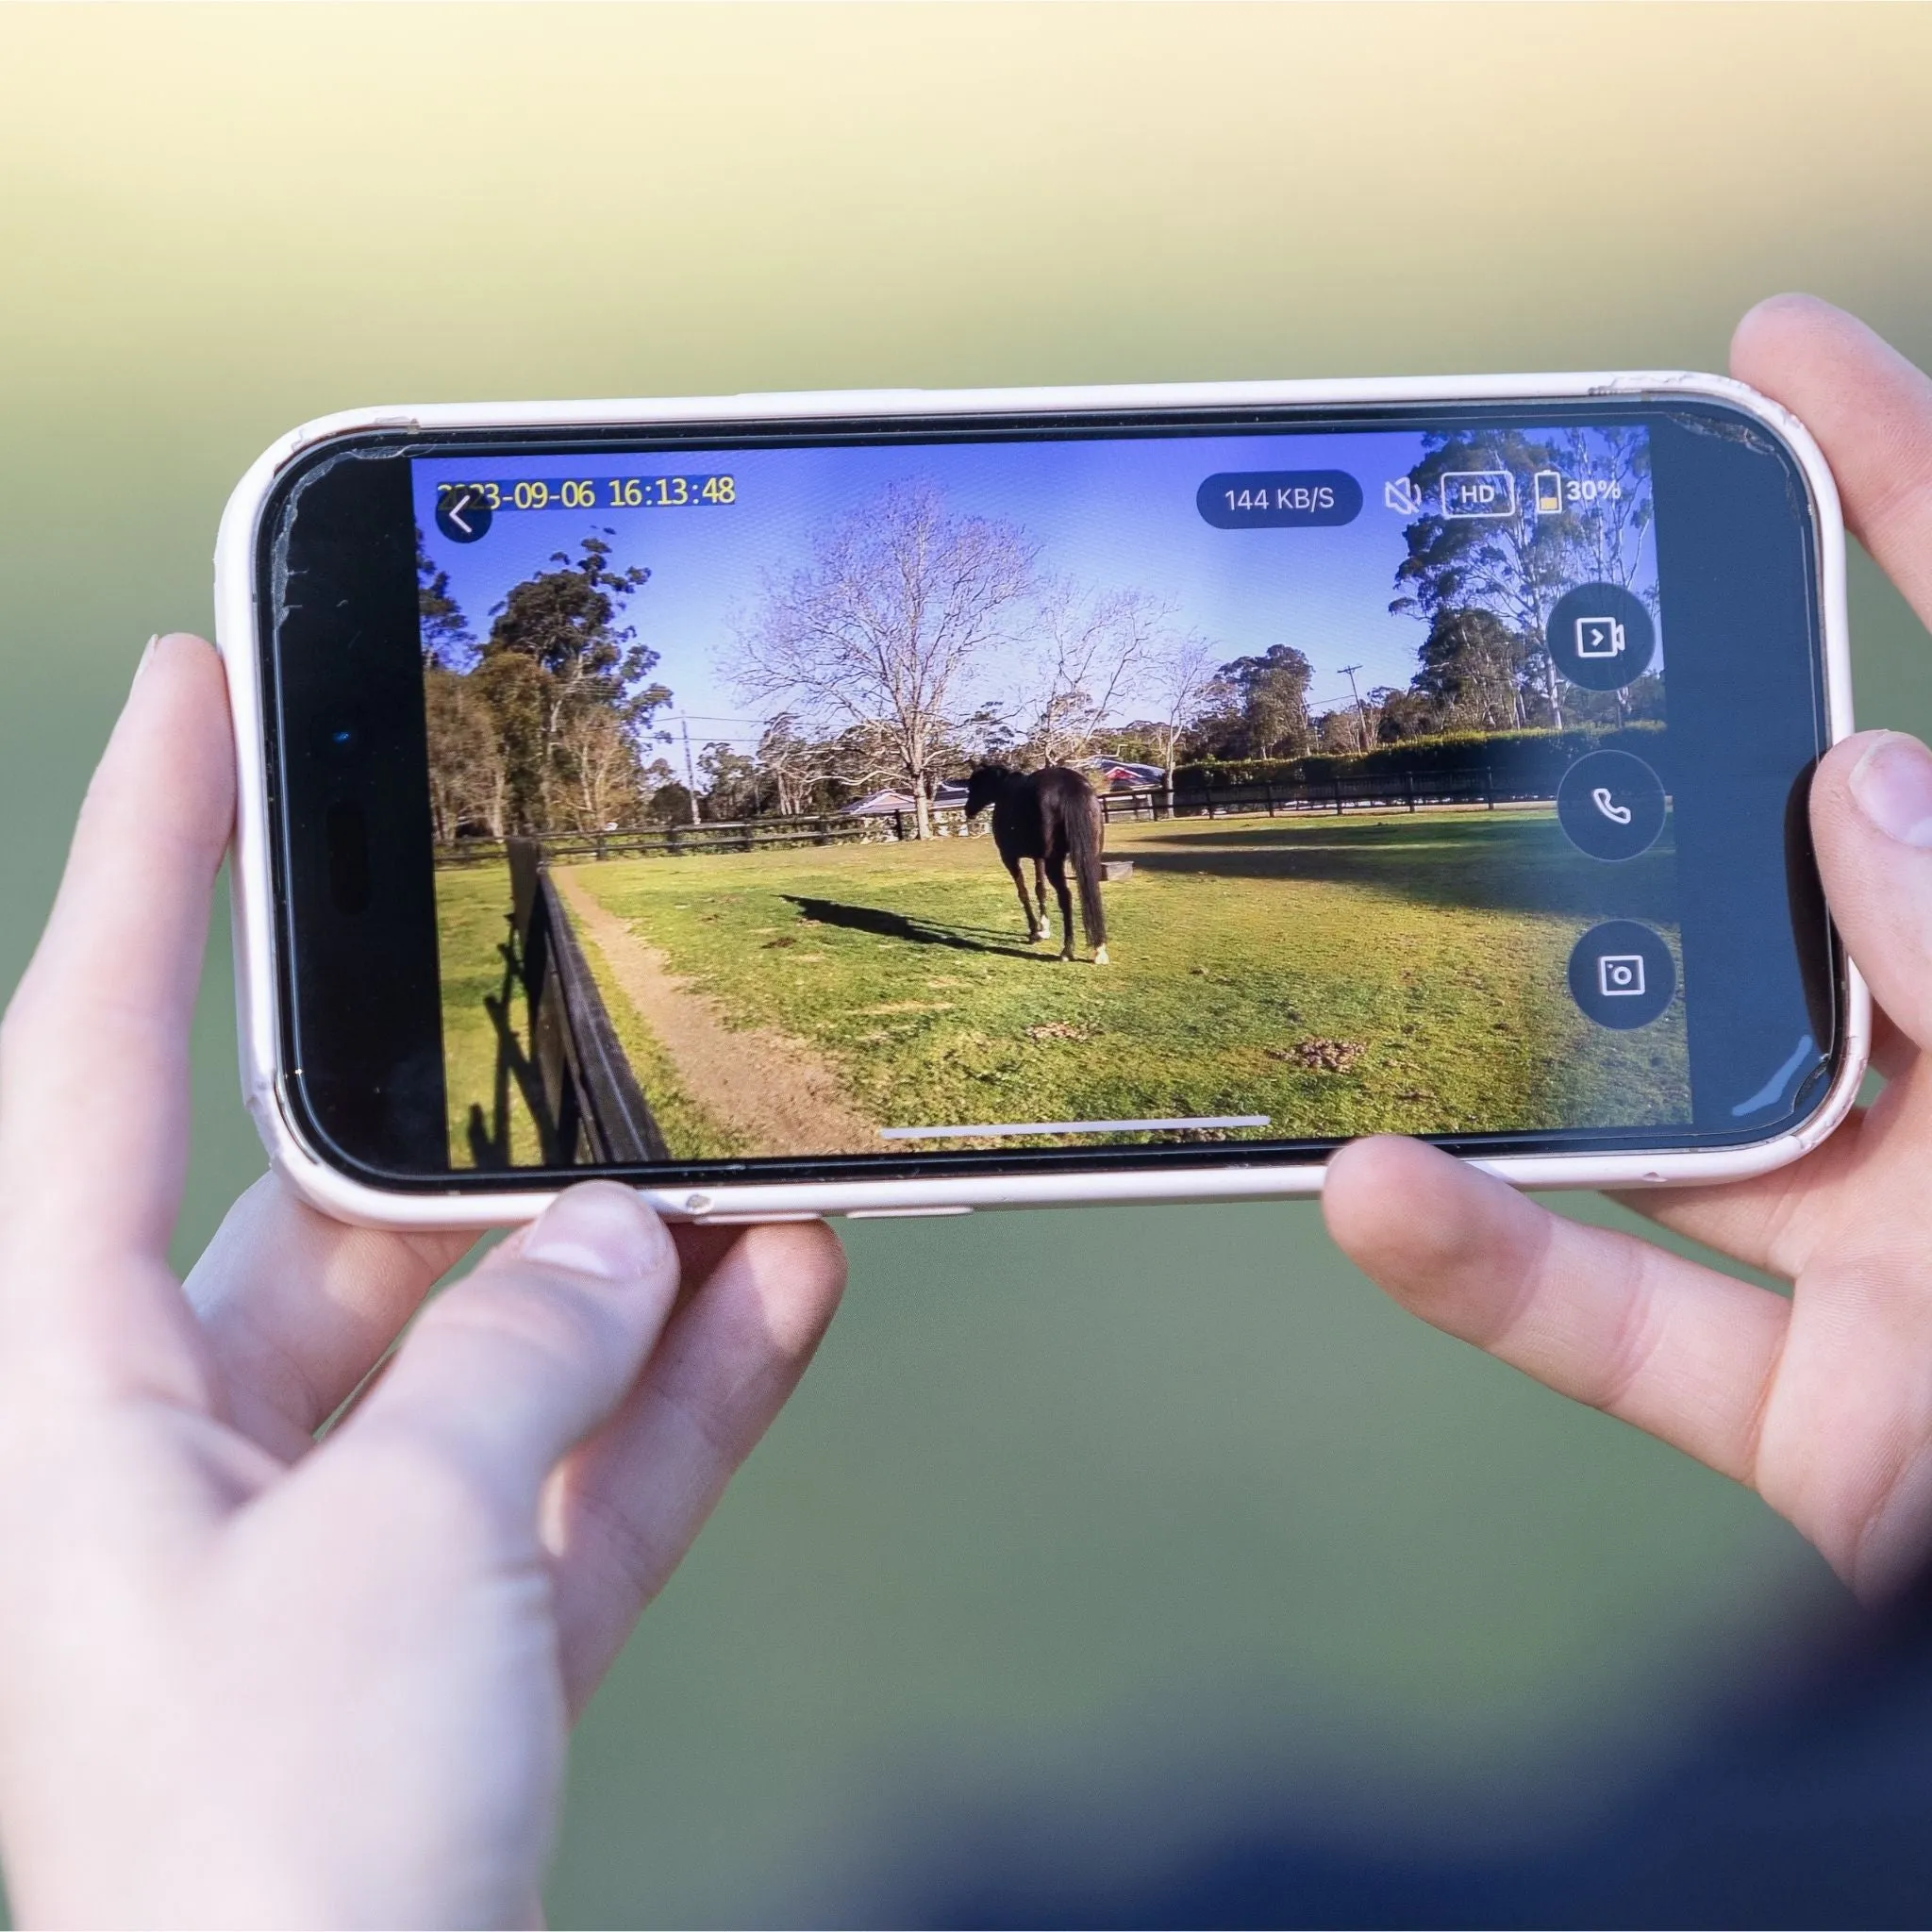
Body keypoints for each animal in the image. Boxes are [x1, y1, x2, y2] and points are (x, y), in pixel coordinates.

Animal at [961, 757, 1112, 961]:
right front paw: (1044, 928)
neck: (1004, 789)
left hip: (1054, 863)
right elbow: (1040, 890)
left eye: (974, 784)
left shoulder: (1009, 858)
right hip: (1089, 857)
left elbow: (1023, 892)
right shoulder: (1038, 857)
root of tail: (1071, 785)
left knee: (1065, 896)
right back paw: (1099, 948)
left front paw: (1034, 932)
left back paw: (1067, 949)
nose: (967, 810)